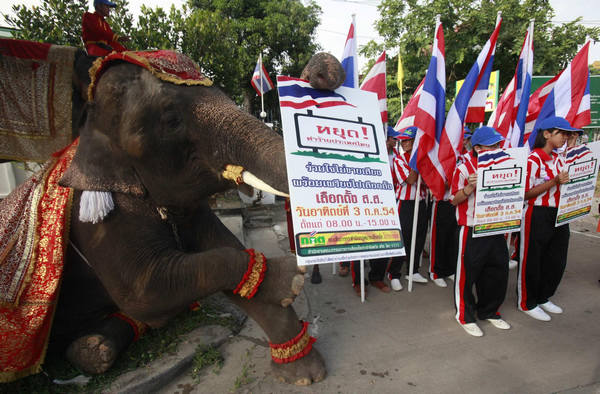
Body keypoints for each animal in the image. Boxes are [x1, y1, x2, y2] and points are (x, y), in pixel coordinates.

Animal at [0, 43, 346, 384]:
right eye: (170, 120)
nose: (321, 74)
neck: (89, 126)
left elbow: (221, 250)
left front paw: (303, 373)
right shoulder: (94, 218)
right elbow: (147, 288)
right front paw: (290, 278)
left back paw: (93, 348)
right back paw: (91, 350)